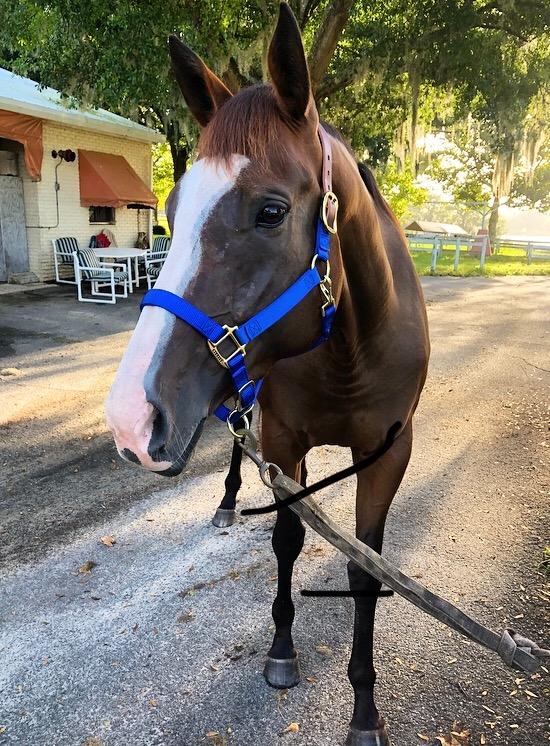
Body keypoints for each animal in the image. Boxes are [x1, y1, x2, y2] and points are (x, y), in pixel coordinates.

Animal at [105, 5, 430, 744]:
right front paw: (282, 652)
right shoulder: (283, 437)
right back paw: (227, 502)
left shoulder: (388, 454)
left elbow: (364, 570)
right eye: (171, 212)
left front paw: (364, 710)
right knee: (233, 443)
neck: (352, 349)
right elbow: (286, 538)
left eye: (271, 212)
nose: (131, 421)